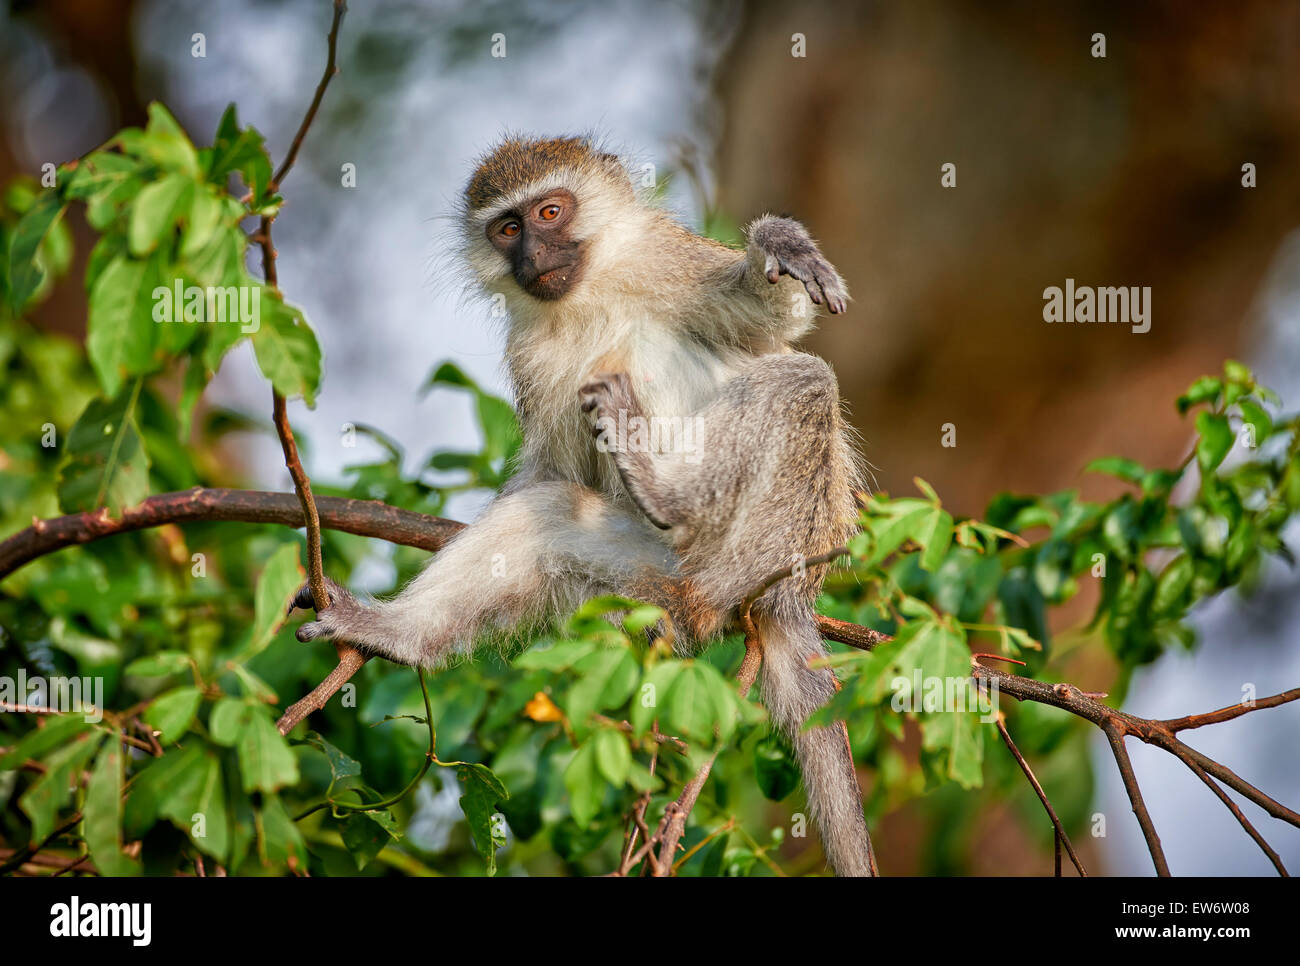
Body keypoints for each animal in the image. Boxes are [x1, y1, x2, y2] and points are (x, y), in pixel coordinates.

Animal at [291, 135, 878, 878]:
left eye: (550, 211)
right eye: (508, 229)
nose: (535, 254)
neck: (587, 295)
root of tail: (780, 597)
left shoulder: (668, 258)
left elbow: (774, 324)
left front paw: (783, 246)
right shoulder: (529, 353)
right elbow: (547, 472)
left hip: (782, 538)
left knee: (801, 381)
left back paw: (674, 499)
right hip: (651, 572)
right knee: (548, 511)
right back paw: (398, 633)